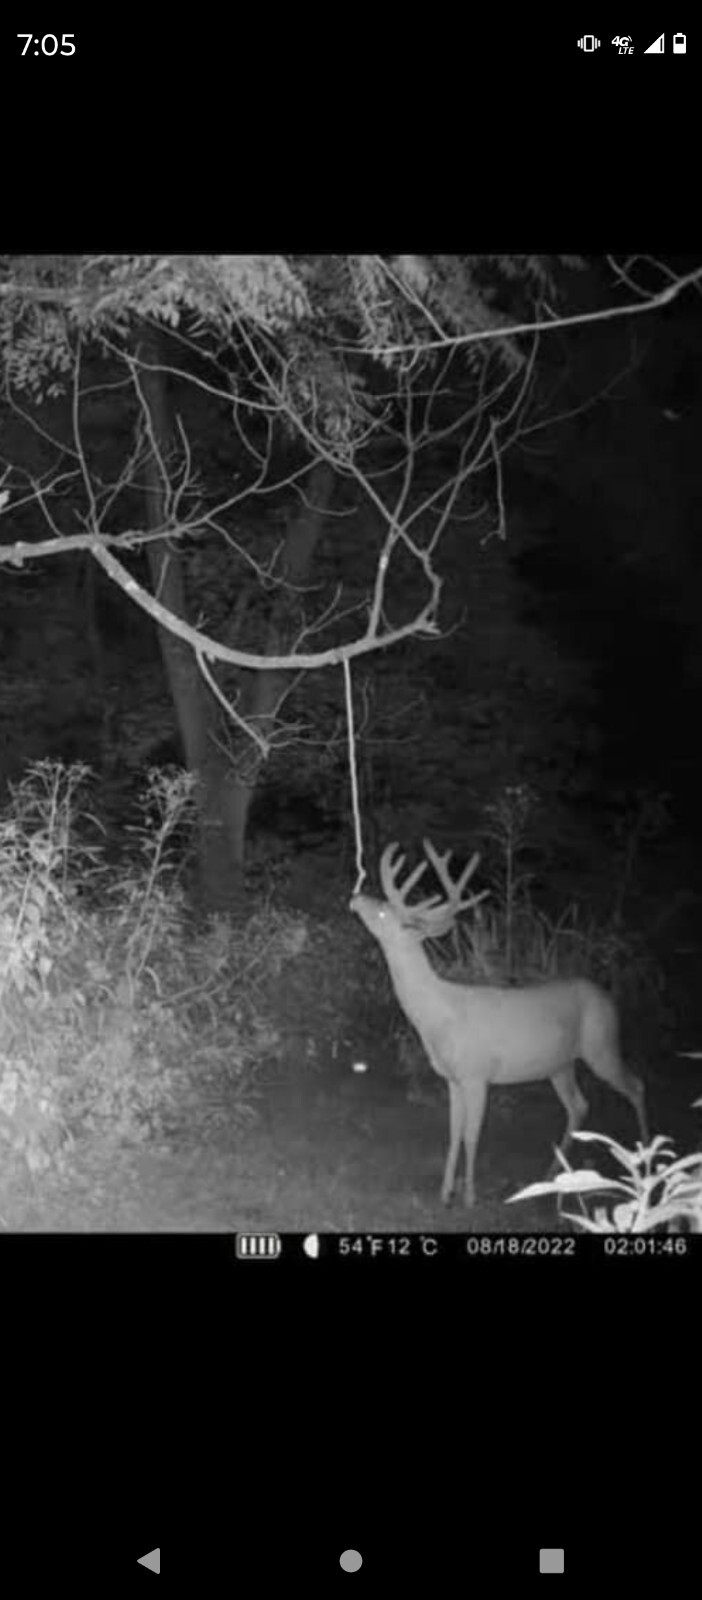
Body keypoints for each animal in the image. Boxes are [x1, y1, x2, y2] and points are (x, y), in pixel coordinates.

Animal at [350, 840, 649, 1208]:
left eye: (382, 912)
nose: (356, 895)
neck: (437, 1016)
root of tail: (608, 998)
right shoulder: (453, 1078)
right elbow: (453, 1134)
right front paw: (445, 1193)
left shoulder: (477, 1075)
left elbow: (471, 1135)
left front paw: (469, 1197)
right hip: (560, 1063)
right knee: (579, 1105)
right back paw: (552, 1173)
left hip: (602, 1045)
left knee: (636, 1086)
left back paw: (646, 1164)